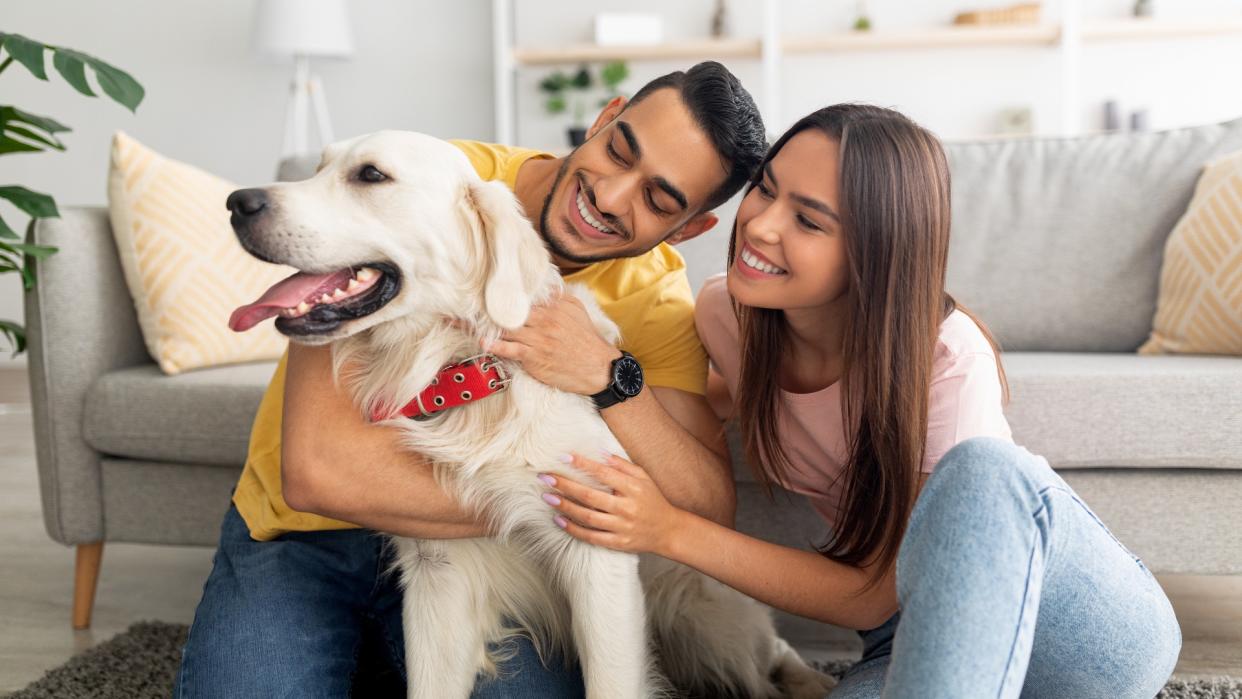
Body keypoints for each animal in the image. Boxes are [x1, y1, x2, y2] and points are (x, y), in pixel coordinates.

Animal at [232, 131, 834, 699]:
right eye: (316, 168)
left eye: (371, 175)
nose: (237, 201)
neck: (474, 373)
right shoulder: (437, 574)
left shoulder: (600, 548)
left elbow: (610, 684)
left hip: (701, 613)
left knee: (768, 657)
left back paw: (812, 679)